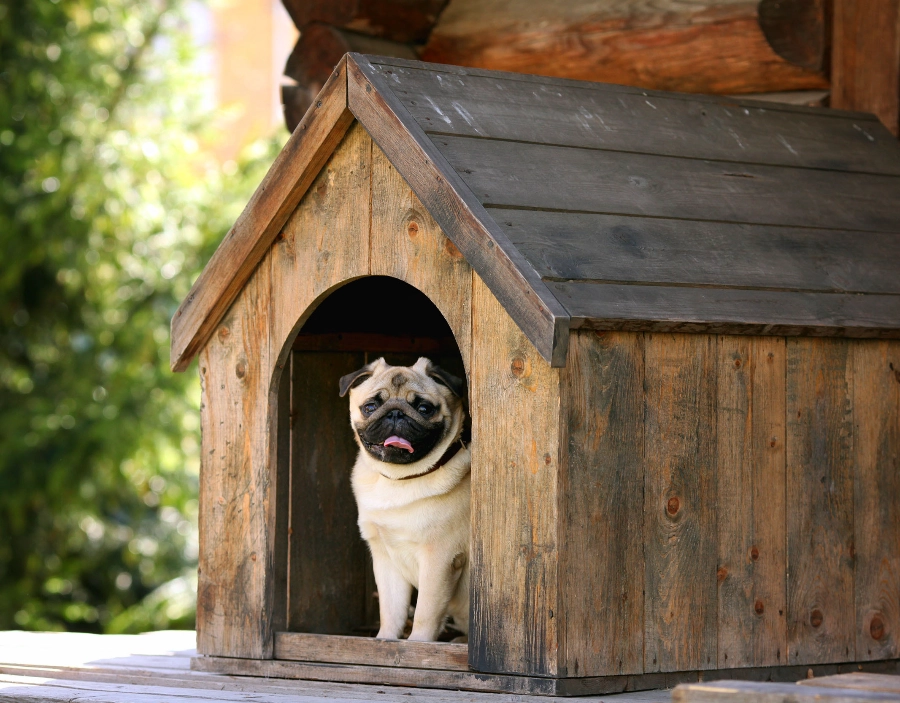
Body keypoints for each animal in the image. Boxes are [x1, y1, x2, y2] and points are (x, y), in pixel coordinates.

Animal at [340, 360, 472, 640]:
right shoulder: (386, 559)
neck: (399, 479)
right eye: (370, 407)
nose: (395, 414)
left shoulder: (439, 559)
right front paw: (386, 640)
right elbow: (391, 611)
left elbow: (425, 612)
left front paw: (418, 643)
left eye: (424, 409)